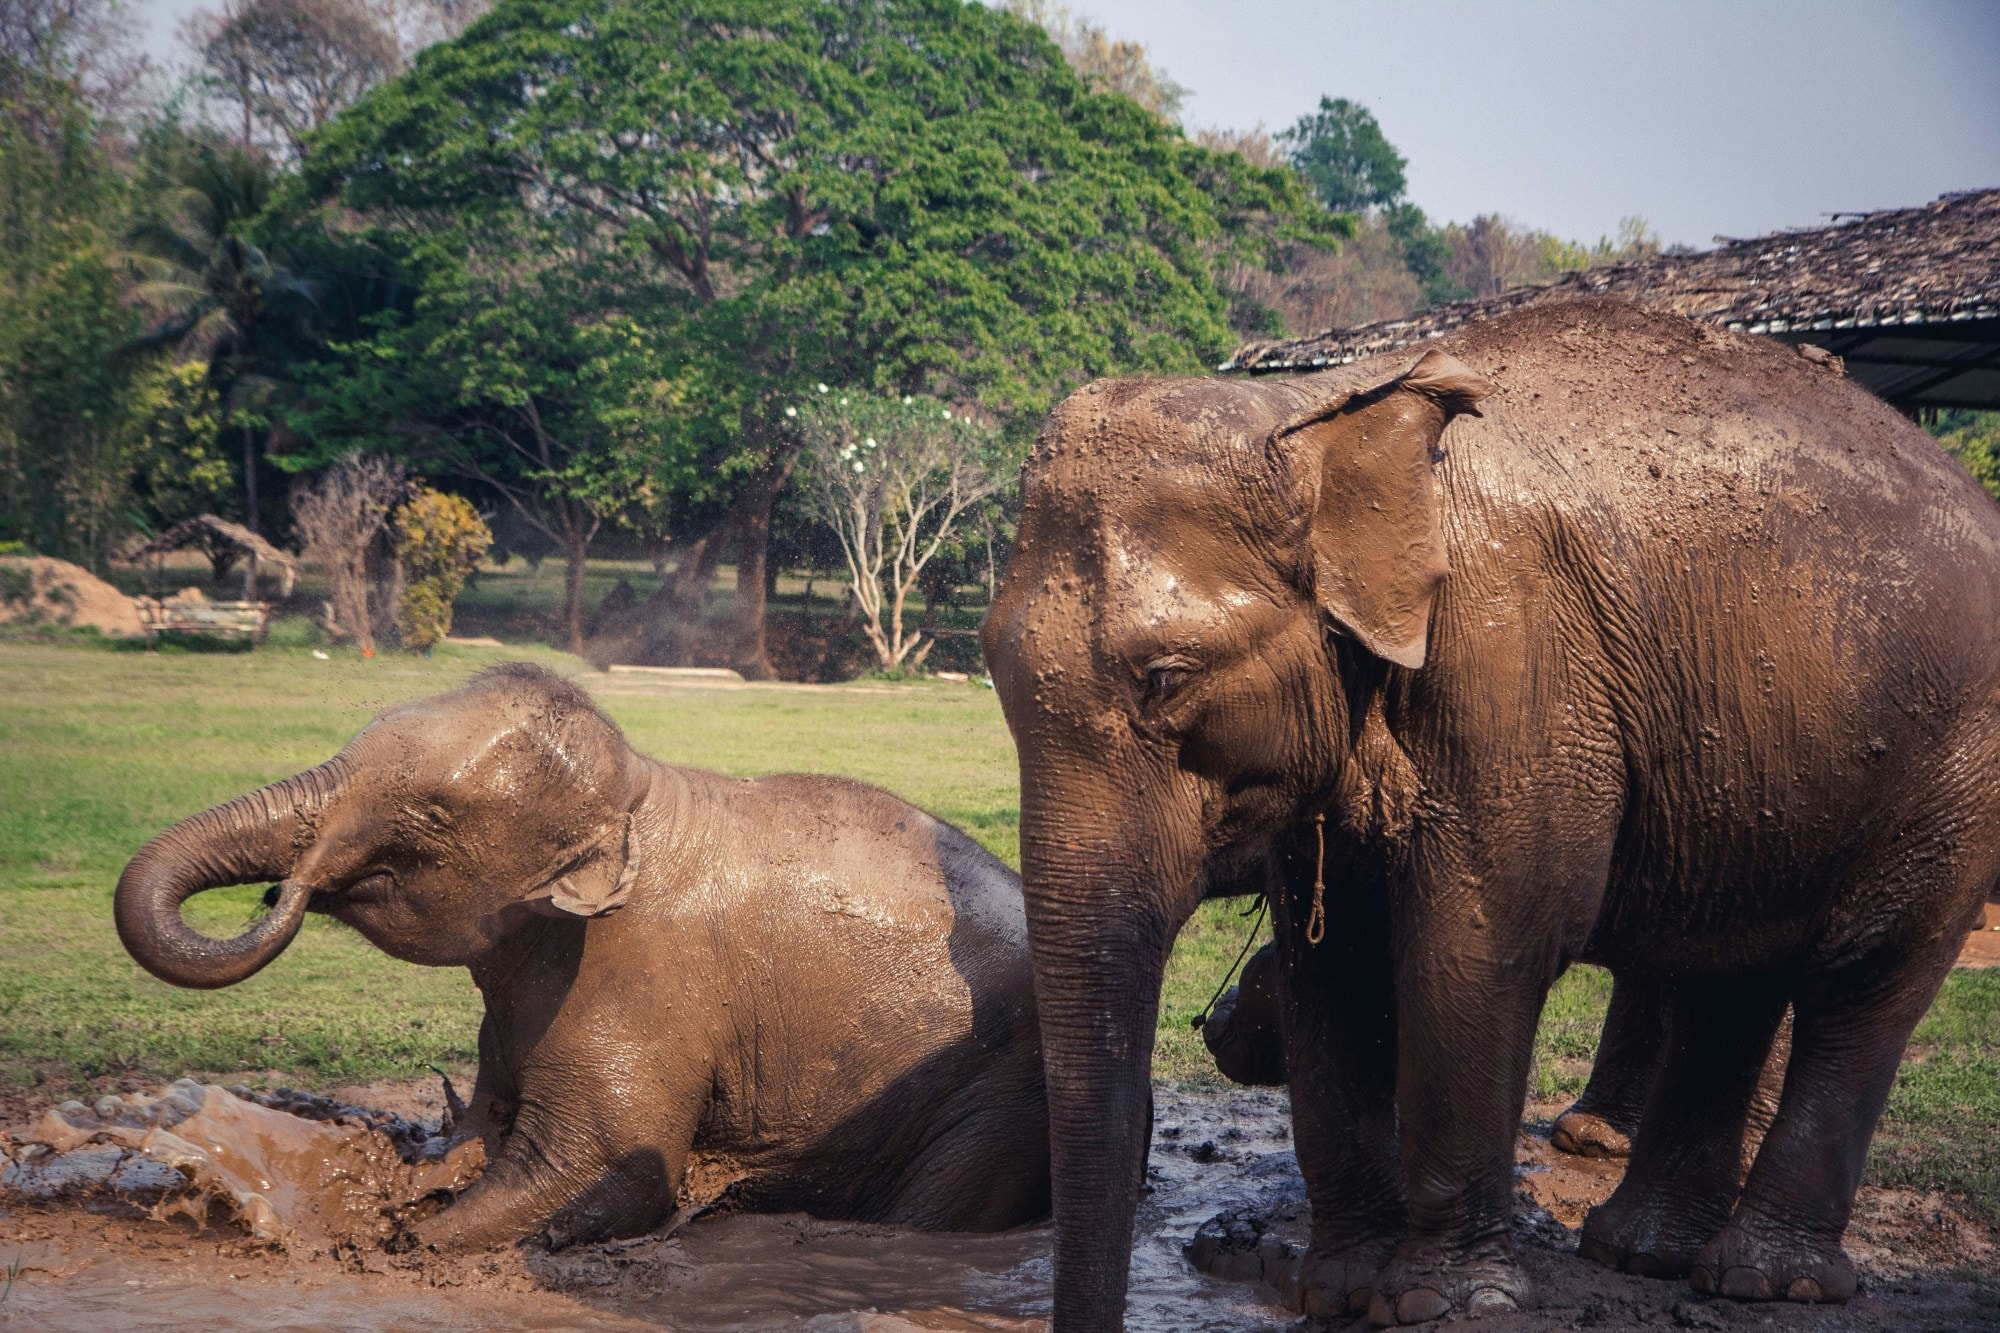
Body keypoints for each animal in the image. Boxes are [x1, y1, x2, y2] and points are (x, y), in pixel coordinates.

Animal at [113, 664, 1048, 1248]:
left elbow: (607, 1170)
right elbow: (487, 1130)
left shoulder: (639, 984)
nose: (283, 889)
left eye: (431, 817)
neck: (640, 795)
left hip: (997, 1095)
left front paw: (393, 1239)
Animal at [980, 296, 2000, 1320]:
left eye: (1165, 677)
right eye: (988, 661)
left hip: (1956, 770)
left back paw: (1761, 1278)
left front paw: (1441, 1305)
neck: (1323, 409)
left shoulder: (1519, 661)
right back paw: (1643, 1254)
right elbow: (1332, 963)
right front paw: (1341, 1287)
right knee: (1734, 974)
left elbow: (1475, 946)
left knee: (1865, 977)